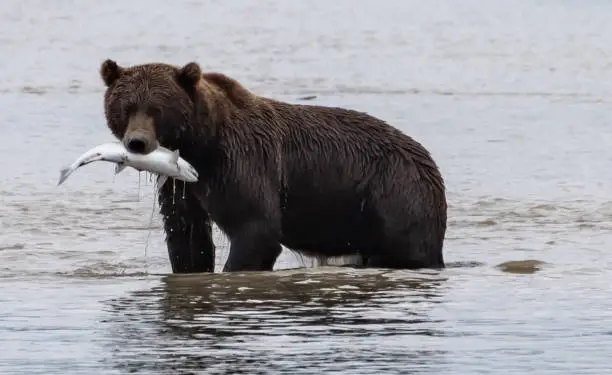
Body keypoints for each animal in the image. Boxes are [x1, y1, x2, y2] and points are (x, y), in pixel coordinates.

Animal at [98, 60, 448, 274]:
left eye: (157, 109)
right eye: (126, 107)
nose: (137, 142)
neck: (201, 145)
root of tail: (429, 161)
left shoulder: (242, 163)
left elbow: (255, 228)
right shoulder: (182, 183)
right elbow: (186, 233)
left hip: (394, 194)